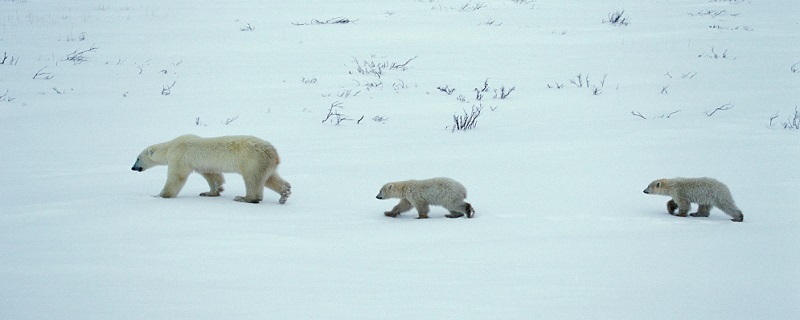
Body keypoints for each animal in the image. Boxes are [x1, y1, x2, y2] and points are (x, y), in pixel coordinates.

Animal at [131, 134, 290, 204]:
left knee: (253, 179)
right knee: (270, 178)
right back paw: (285, 193)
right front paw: (209, 192)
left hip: (252, 160)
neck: (170, 147)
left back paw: (245, 198)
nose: (133, 167)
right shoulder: (203, 164)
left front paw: (160, 195)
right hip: (264, 163)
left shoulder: (179, 156)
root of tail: (274, 152)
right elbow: (213, 176)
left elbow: (176, 176)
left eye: (137, 158)